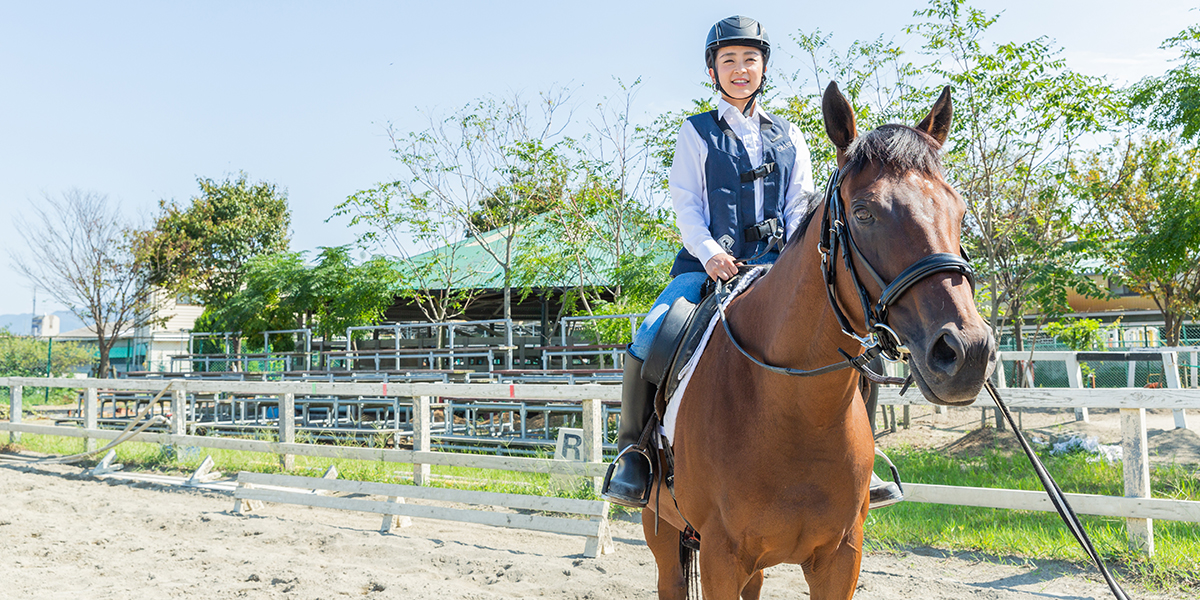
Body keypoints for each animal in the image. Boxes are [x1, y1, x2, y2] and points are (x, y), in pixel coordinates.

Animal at [643, 83, 998, 600]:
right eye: (864, 212)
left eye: (959, 210)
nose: (967, 352)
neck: (794, 409)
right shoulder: (719, 558)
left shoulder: (840, 557)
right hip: (664, 534)